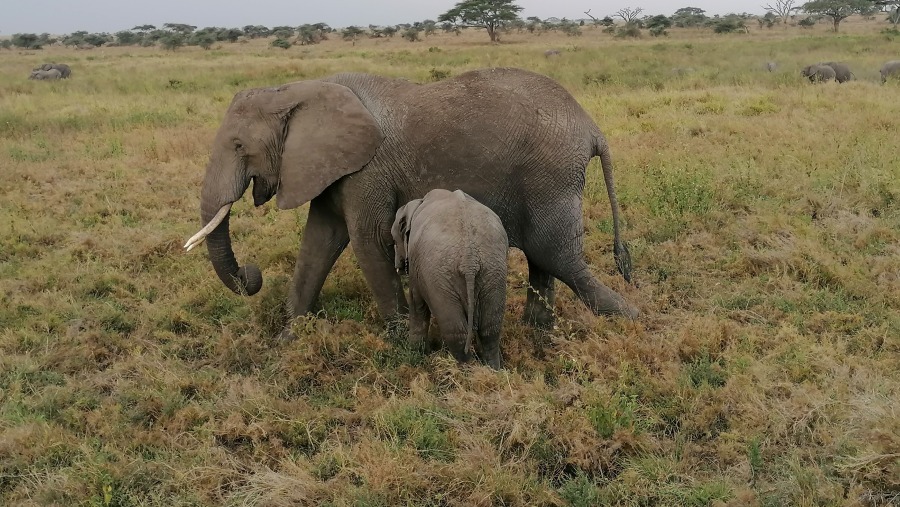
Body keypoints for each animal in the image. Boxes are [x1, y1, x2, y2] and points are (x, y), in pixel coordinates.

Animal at [186, 65, 640, 340]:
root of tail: (591, 127)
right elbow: (319, 242)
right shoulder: (334, 168)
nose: (251, 272)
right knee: (544, 256)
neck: (300, 90)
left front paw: (402, 341)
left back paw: (631, 319)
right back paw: (537, 330)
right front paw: (290, 338)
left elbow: (367, 240)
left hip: (551, 174)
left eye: (239, 146)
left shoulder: (369, 168)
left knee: (557, 256)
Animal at [392, 189, 510, 368]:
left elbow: (417, 302)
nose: (397, 265)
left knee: (455, 332)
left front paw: (414, 353)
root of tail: (470, 258)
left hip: (440, 276)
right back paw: (493, 370)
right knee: (490, 329)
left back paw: (465, 371)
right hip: (494, 269)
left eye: (394, 239)